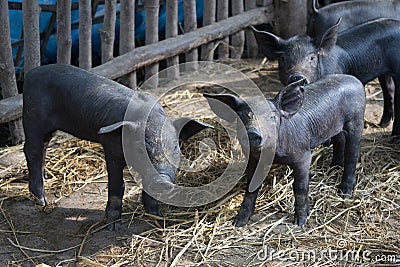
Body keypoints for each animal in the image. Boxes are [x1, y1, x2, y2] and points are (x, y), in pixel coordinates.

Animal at [22, 63, 211, 231]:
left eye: (175, 148)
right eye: (140, 149)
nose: (162, 179)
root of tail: (32, 73)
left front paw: (156, 214)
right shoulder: (111, 147)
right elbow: (117, 185)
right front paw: (113, 226)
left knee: (44, 145)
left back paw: (46, 176)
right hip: (34, 117)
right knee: (31, 150)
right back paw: (41, 200)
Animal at [205, 74, 364, 227]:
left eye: (272, 117)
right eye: (242, 117)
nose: (252, 132)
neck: (273, 154)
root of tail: (354, 79)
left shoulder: (303, 156)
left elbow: (300, 187)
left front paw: (300, 222)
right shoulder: (253, 159)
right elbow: (251, 187)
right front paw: (238, 223)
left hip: (356, 122)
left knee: (352, 154)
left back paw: (345, 194)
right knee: (339, 140)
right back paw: (334, 167)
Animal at [252, 17, 400, 140]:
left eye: (312, 57)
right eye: (282, 58)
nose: (297, 76)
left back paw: (393, 138)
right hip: (384, 72)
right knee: (389, 89)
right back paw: (382, 124)